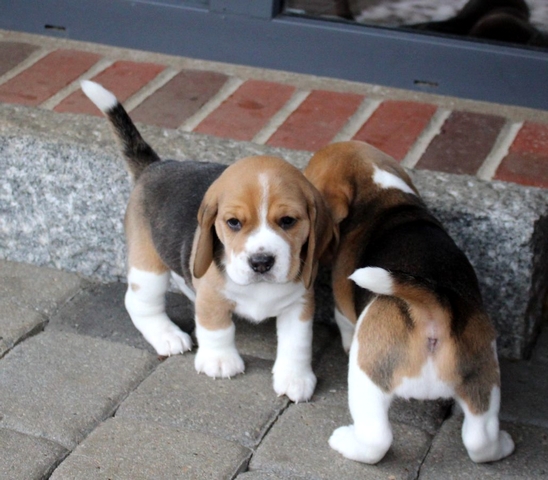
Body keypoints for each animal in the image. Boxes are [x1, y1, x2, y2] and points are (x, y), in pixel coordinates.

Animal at [81, 80, 333, 402]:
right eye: (233, 223)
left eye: (288, 221)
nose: (261, 262)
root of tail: (156, 167)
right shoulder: (212, 296)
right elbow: (216, 327)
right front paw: (220, 360)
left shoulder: (300, 301)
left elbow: (297, 342)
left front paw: (295, 378)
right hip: (148, 267)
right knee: (139, 302)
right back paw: (167, 335)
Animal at [304, 141, 514, 463]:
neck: (380, 191)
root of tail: (432, 309)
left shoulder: (343, 304)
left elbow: (343, 321)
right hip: (483, 375)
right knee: (480, 439)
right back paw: (502, 445)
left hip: (369, 373)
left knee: (377, 439)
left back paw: (346, 442)